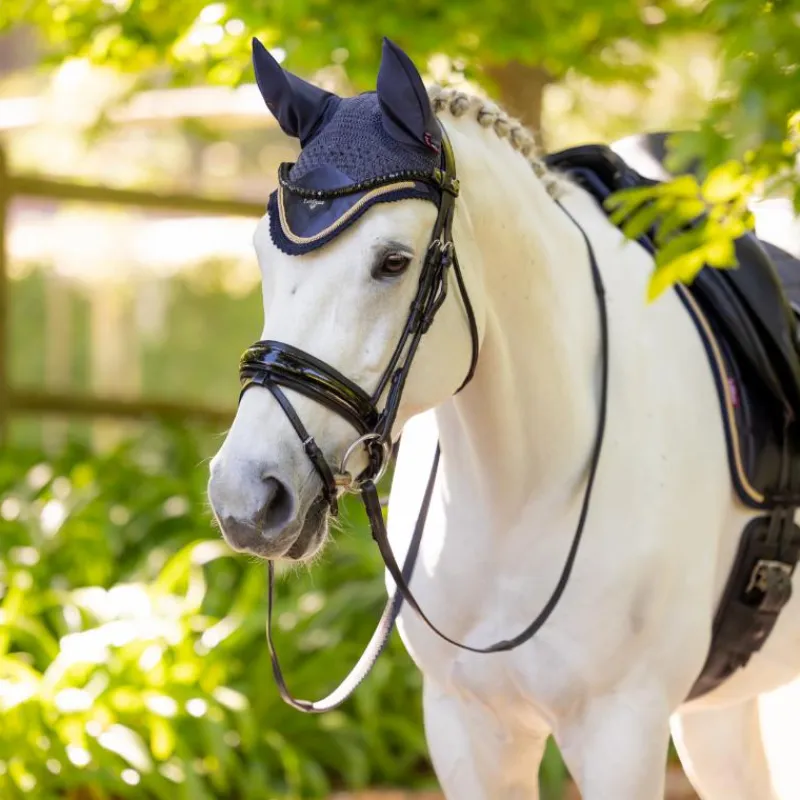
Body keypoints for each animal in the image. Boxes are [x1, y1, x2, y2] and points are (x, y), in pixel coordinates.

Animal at [207, 37, 800, 799]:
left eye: (393, 261)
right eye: (260, 253)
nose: (248, 498)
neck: (524, 488)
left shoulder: (621, 732)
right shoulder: (468, 728)